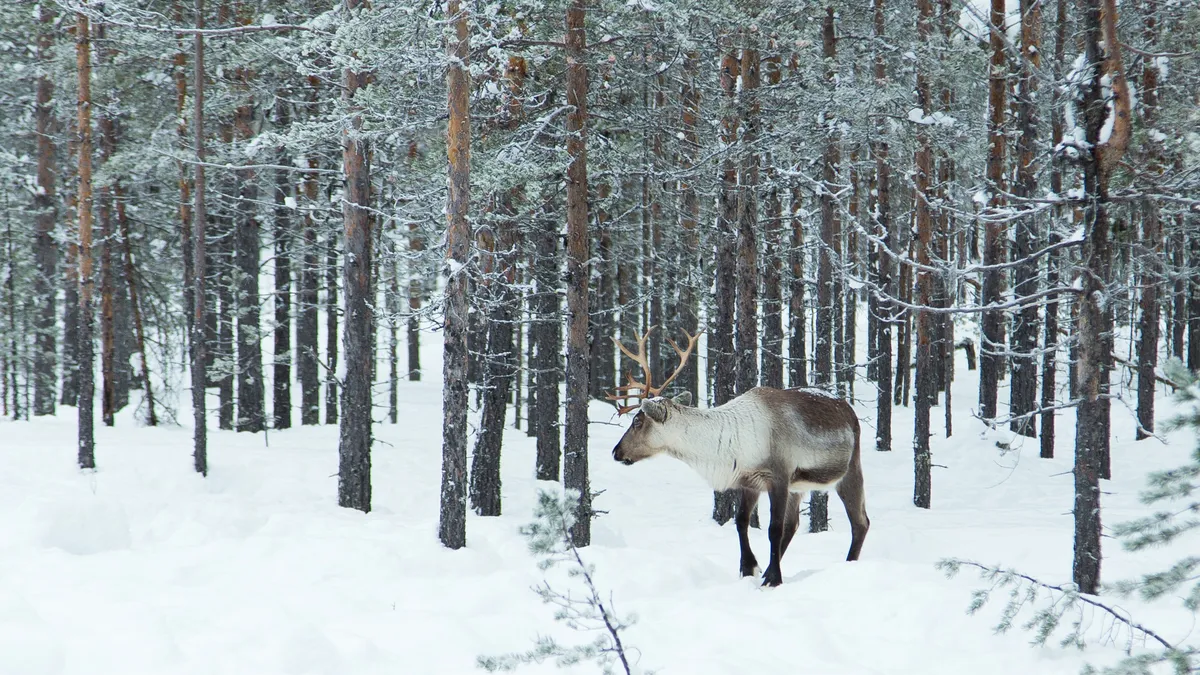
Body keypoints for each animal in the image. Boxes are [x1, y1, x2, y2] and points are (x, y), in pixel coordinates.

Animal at [607, 327, 869, 587]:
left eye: (637, 421)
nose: (616, 452)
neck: (728, 445)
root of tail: (850, 410)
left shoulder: (779, 477)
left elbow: (774, 529)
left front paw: (773, 579)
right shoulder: (749, 481)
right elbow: (741, 521)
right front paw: (749, 567)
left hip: (850, 470)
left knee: (860, 522)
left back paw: (847, 564)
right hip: (799, 486)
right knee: (793, 524)